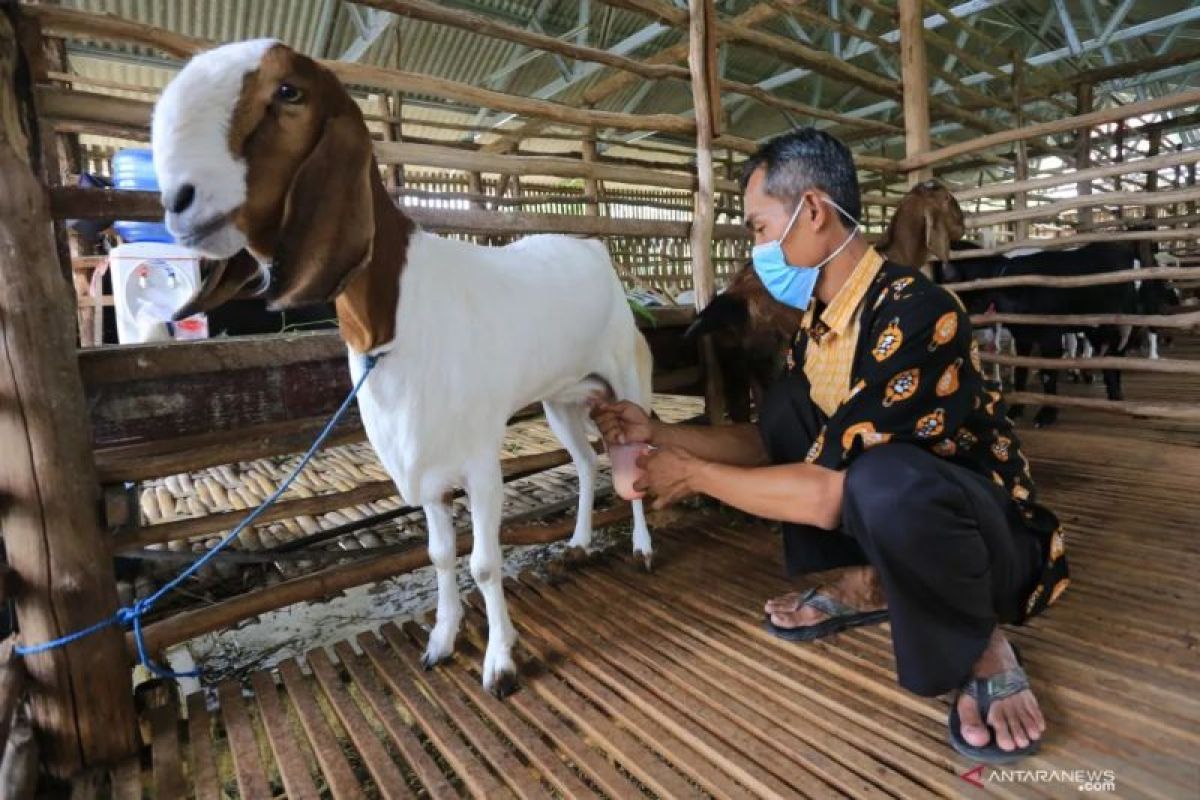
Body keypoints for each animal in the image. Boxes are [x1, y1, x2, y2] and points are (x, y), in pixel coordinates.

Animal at [154, 40, 657, 695]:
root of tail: (595, 250)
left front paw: (500, 663)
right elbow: (440, 556)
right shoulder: (424, 466)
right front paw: (442, 640)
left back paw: (644, 548)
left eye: (289, 91)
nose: (178, 202)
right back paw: (576, 542)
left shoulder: (479, 461)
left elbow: (484, 562)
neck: (391, 323)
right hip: (562, 399)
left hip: (625, 377)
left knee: (634, 459)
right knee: (586, 462)